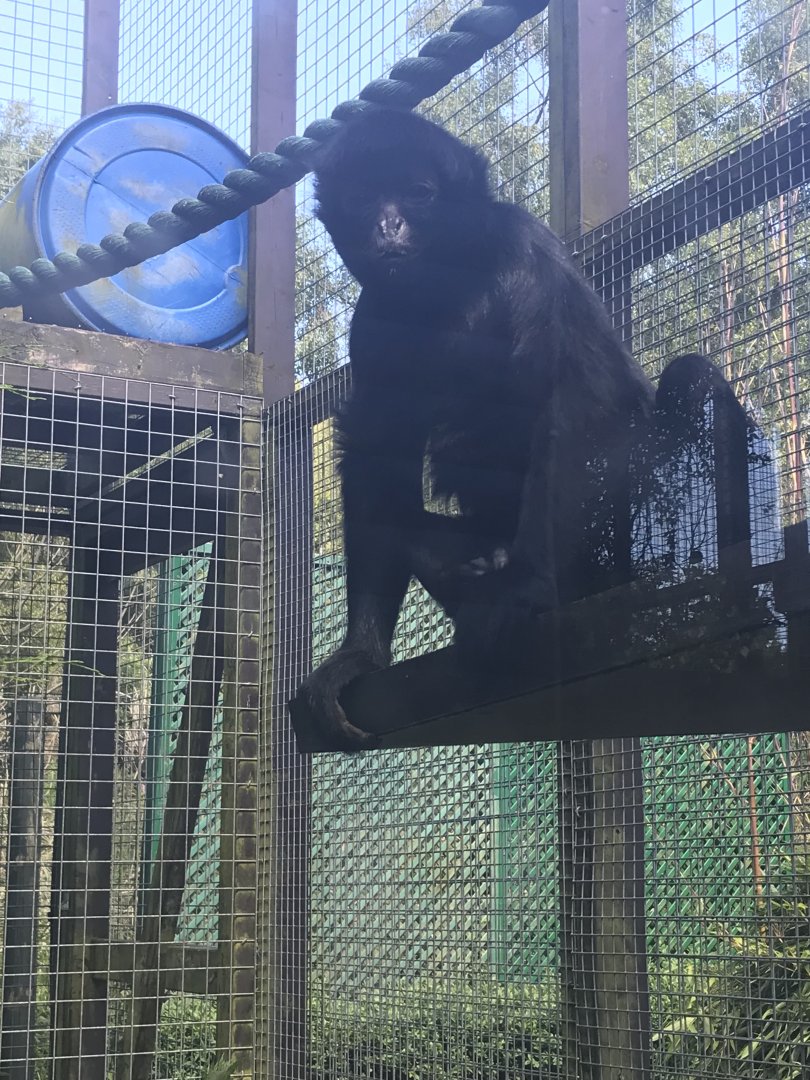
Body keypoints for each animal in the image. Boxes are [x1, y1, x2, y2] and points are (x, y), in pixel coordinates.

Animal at [293, 107, 745, 750]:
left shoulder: (521, 248)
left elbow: (571, 393)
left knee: (690, 377)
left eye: (418, 193)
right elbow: (377, 450)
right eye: (363, 199)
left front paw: (529, 588)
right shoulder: (374, 316)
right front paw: (359, 654)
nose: (387, 225)